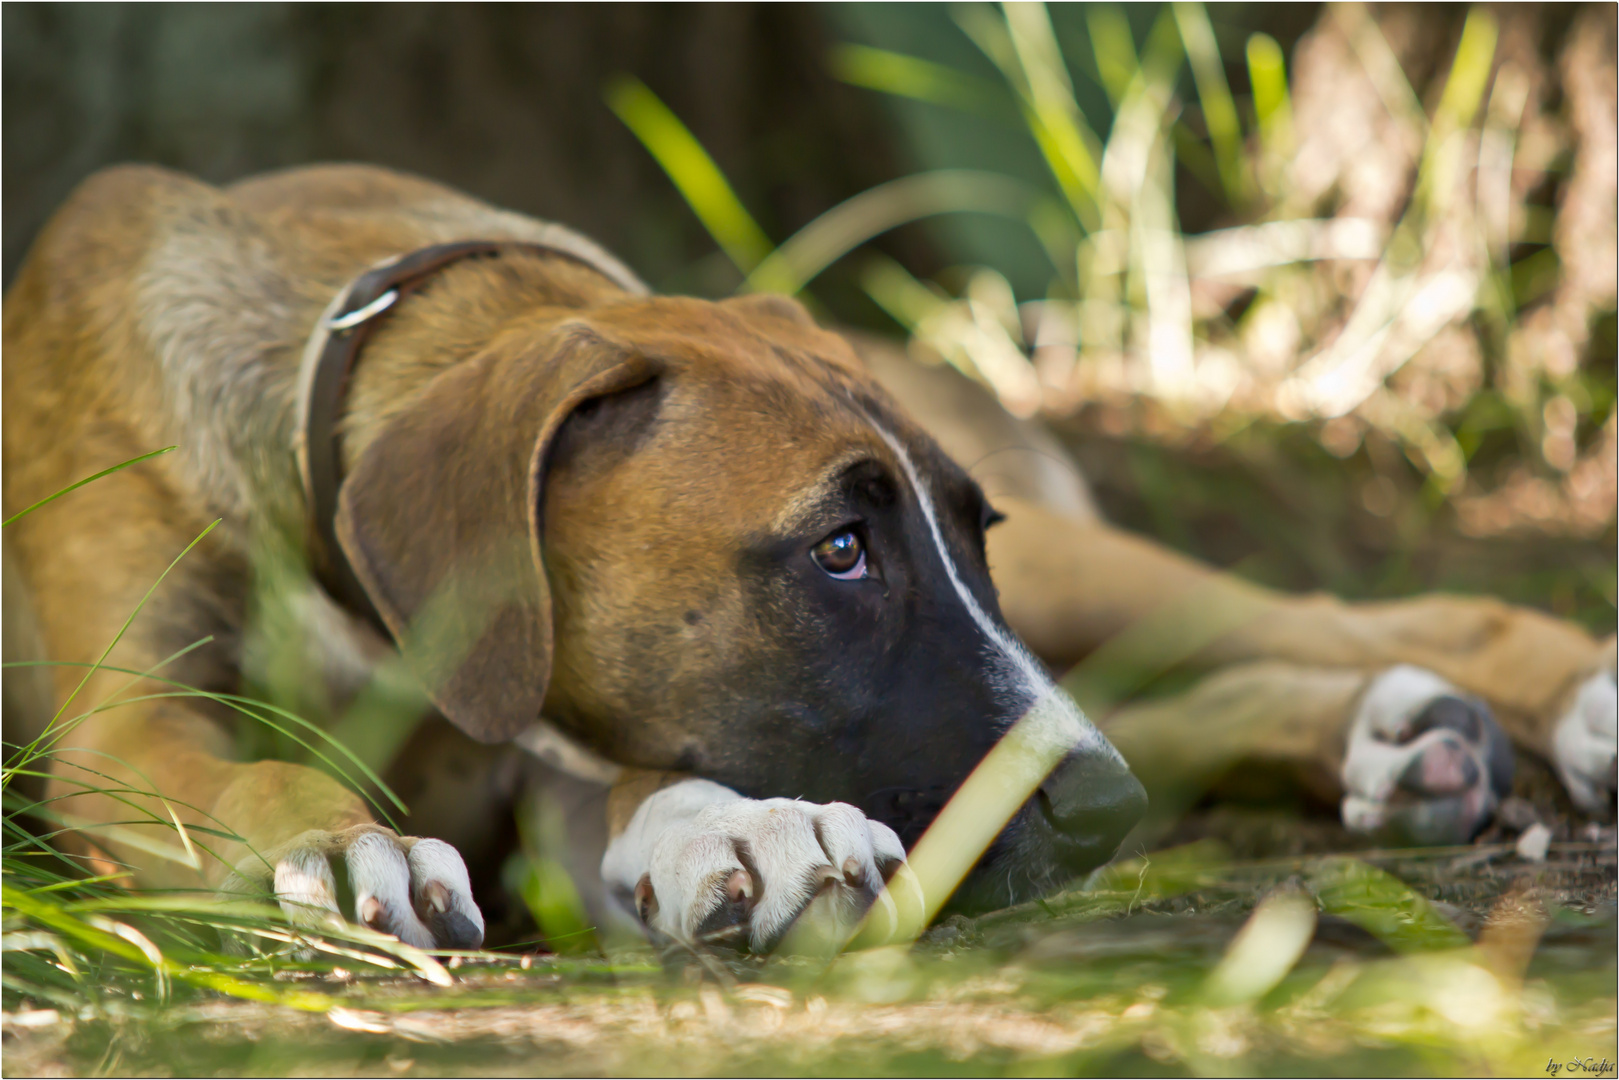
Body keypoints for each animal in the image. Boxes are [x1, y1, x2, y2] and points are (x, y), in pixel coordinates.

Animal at [6, 165, 1612, 952]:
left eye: (966, 532)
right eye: (838, 549)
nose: (1099, 815)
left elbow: (645, 784)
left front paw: (748, 828)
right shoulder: (121, 729)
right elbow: (239, 769)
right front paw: (343, 844)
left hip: (1093, 572)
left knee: (1352, 612)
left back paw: (1543, 698)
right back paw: (1387, 743)